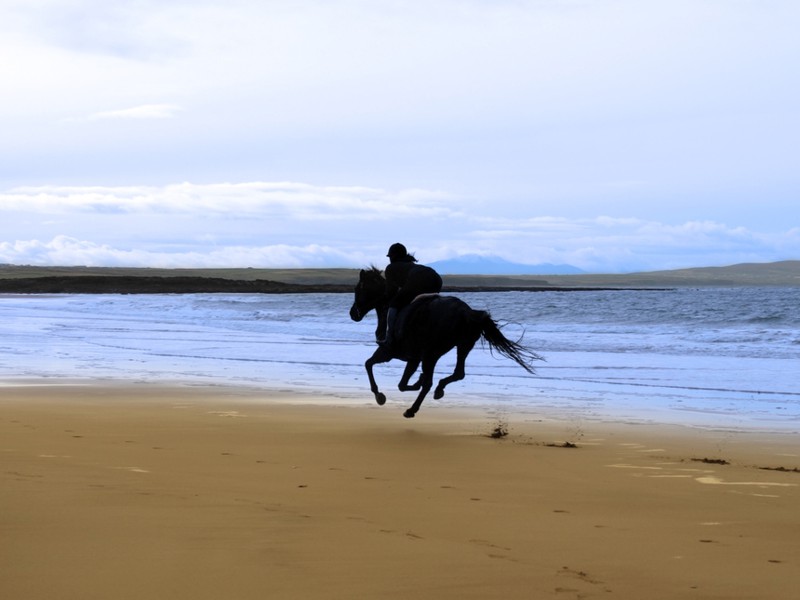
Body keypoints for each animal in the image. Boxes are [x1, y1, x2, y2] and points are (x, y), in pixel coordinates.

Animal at [349, 267, 542, 418]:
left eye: (358, 289)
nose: (353, 314)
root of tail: (467, 312)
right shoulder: (413, 358)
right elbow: (401, 383)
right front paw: (415, 381)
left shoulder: (388, 352)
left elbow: (370, 365)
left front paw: (379, 395)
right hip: (462, 346)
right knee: (458, 374)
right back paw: (438, 389)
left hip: (432, 353)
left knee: (431, 382)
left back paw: (412, 409)